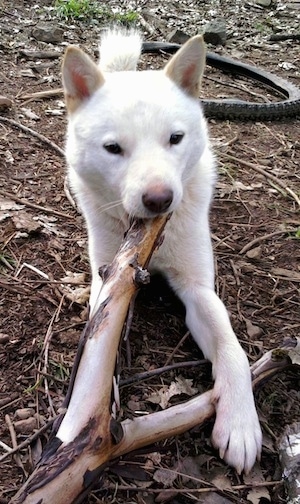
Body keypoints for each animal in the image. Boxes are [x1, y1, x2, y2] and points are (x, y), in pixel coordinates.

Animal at [62, 30, 262, 472]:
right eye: (113, 148)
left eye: (175, 138)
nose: (159, 200)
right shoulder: (107, 282)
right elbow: (97, 348)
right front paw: (82, 415)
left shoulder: (199, 289)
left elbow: (234, 351)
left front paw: (240, 422)